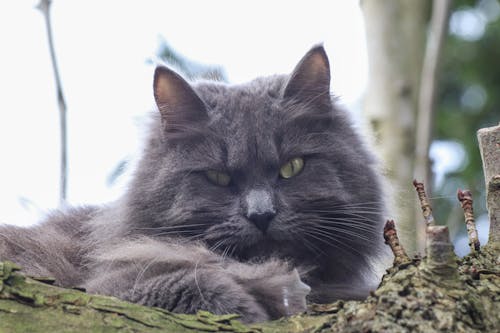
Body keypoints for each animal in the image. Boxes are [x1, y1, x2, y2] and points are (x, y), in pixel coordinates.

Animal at [0, 44, 386, 322]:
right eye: (218, 177)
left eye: (292, 168)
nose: (261, 215)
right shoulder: (105, 286)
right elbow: (196, 282)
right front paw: (251, 311)